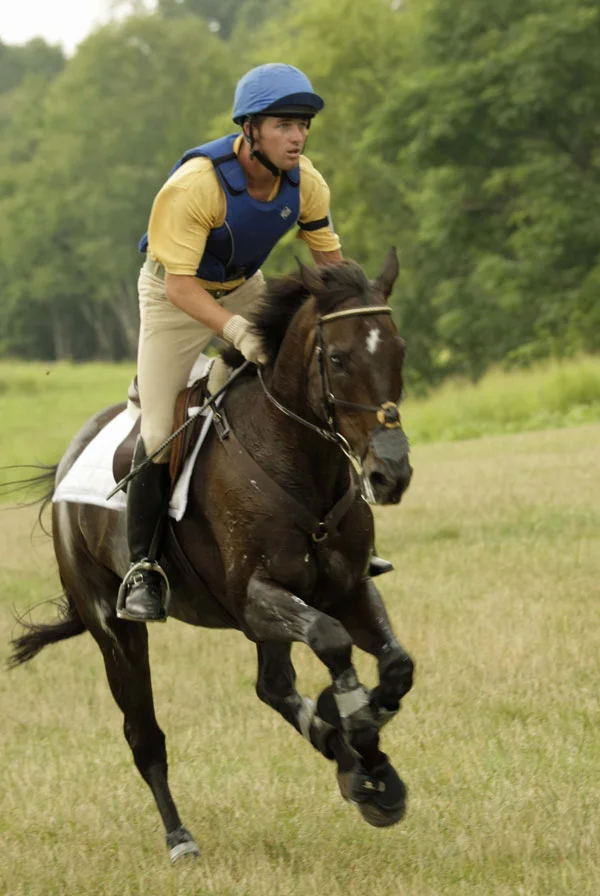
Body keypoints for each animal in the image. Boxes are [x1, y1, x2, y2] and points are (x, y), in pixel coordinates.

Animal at [9, 248, 414, 864]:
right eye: (337, 358)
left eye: (399, 350)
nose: (390, 474)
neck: (295, 459)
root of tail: (69, 458)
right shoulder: (255, 599)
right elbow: (332, 640)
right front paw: (356, 728)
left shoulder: (346, 588)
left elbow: (395, 665)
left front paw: (368, 758)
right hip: (113, 627)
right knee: (144, 733)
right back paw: (180, 837)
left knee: (273, 686)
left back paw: (335, 746)